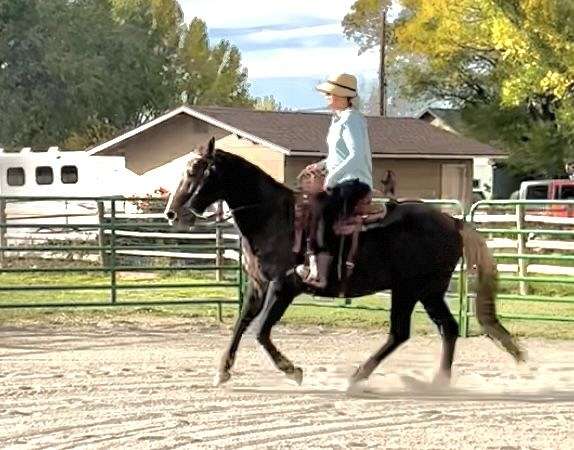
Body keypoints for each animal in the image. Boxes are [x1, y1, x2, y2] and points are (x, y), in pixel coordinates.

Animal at [164, 136, 524, 386]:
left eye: (195, 170)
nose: (172, 213)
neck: (274, 218)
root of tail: (453, 221)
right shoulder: (258, 285)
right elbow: (241, 324)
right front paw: (222, 371)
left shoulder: (283, 287)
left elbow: (261, 332)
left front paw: (292, 370)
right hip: (426, 291)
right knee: (442, 328)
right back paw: (435, 381)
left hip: (412, 289)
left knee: (405, 332)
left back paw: (361, 377)